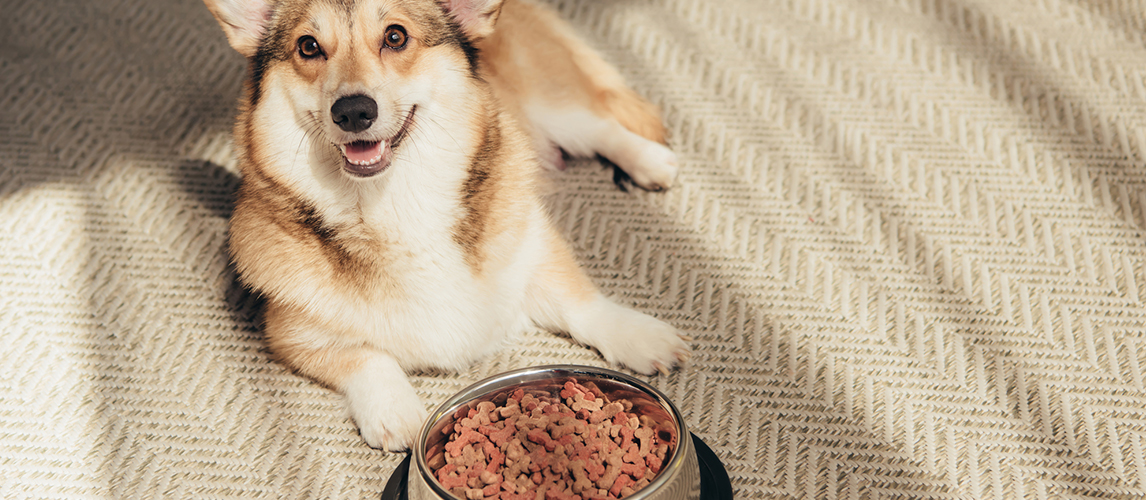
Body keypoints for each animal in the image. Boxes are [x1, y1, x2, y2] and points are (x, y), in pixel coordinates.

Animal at [203, 0, 687, 449]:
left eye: (395, 37)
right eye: (308, 46)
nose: (353, 112)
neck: (394, 203)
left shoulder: (533, 247)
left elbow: (582, 302)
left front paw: (641, 337)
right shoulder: (292, 334)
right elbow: (366, 358)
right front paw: (394, 410)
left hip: (555, 107)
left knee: (603, 126)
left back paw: (651, 162)